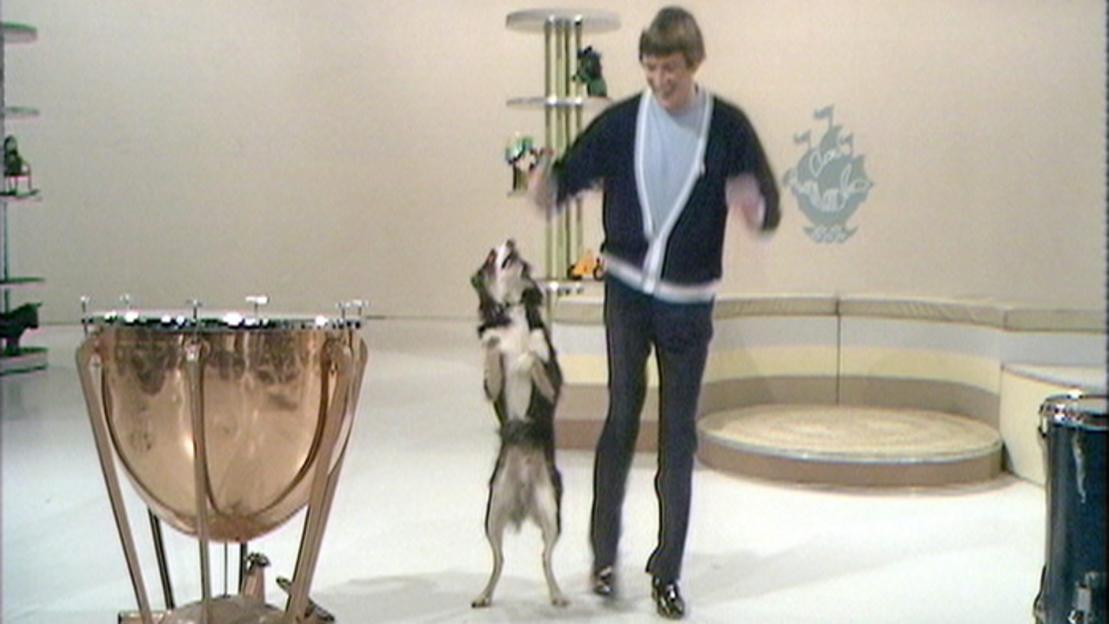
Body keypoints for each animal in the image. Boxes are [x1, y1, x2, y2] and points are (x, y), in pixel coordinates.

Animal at [470, 239, 572, 611]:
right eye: (491, 256)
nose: (510, 241)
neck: (512, 312)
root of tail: (524, 500)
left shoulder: (554, 383)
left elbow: (536, 359)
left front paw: (527, 356)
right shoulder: (491, 385)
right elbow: (493, 355)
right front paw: (497, 344)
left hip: (551, 511)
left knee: (546, 558)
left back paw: (557, 593)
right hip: (492, 516)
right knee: (499, 562)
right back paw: (484, 594)